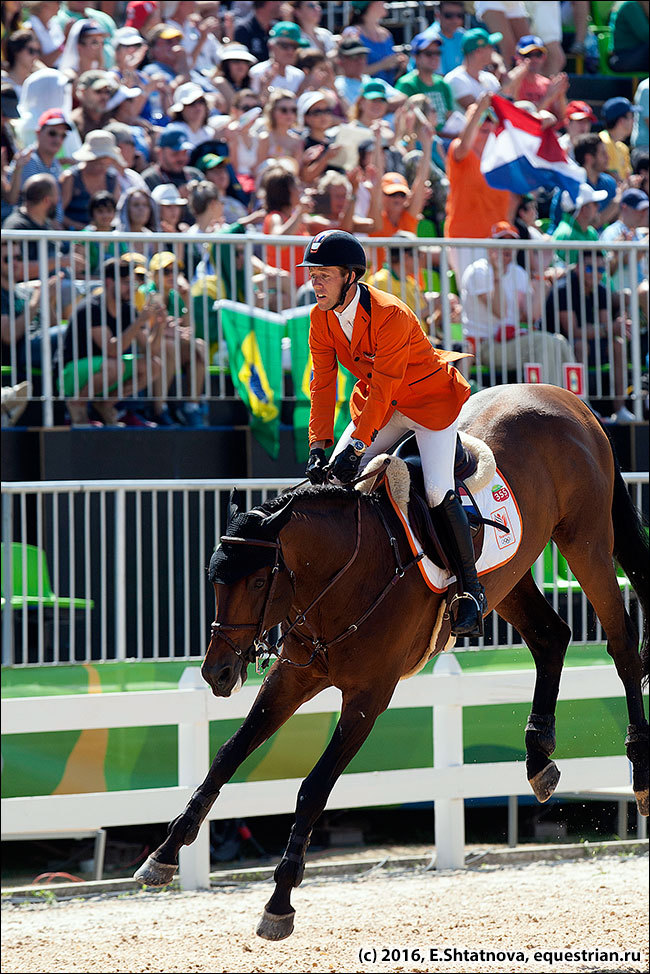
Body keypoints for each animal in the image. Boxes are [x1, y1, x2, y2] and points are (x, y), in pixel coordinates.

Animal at [134, 386, 644, 940]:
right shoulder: (295, 676)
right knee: (551, 637)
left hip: (586, 542)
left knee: (622, 646)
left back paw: (638, 769)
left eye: (257, 581)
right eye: (214, 579)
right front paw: (164, 853)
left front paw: (280, 901)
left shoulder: (368, 698)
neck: (346, 572)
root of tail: (567, 398)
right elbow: (228, 754)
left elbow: (313, 789)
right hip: (509, 573)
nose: (217, 673)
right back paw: (539, 758)